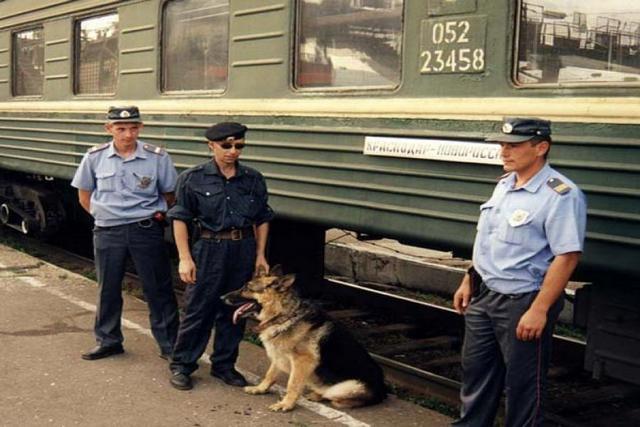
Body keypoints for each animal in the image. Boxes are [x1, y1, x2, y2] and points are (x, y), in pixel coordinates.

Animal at [222, 268, 388, 412]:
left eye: (247, 288)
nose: (221, 297)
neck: (284, 316)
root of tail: (383, 391)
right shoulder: (279, 355)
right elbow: (270, 374)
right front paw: (260, 389)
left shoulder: (302, 361)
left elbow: (292, 384)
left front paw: (286, 404)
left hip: (343, 387)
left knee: (335, 397)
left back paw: (321, 396)